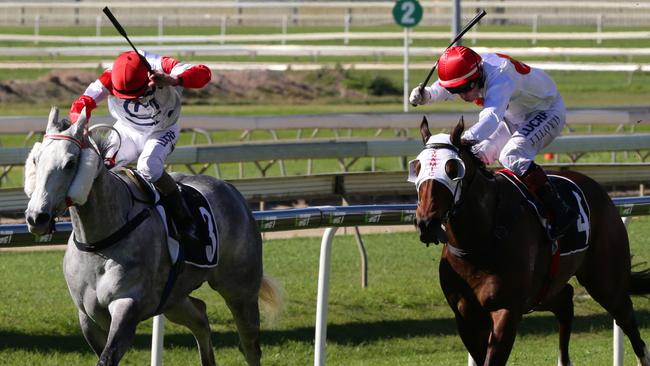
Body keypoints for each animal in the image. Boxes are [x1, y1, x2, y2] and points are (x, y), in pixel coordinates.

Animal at [24, 106, 282, 366]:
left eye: (70, 163)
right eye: (36, 159)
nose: (37, 217)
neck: (100, 242)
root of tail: (231, 190)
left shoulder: (127, 305)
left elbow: (107, 357)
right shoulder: (87, 316)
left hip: (240, 290)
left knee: (249, 346)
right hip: (173, 297)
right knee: (200, 316)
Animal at [410, 116, 648, 364]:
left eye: (452, 169)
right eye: (417, 168)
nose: (426, 223)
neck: (478, 241)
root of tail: (601, 192)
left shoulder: (507, 311)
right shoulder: (466, 317)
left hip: (606, 282)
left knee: (630, 325)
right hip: (544, 291)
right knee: (566, 300)